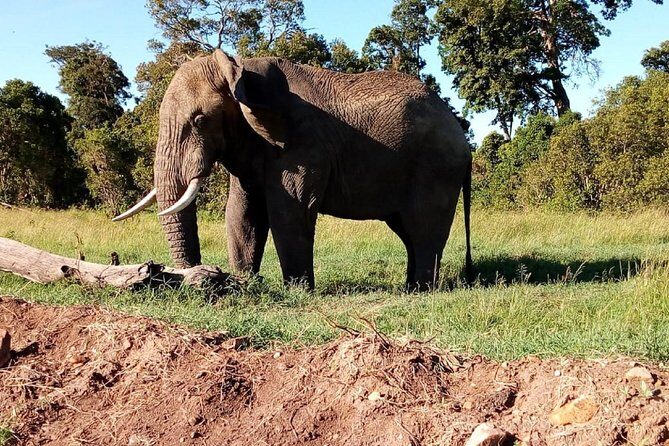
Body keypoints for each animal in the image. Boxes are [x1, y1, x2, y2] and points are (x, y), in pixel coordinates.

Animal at [114, 49, 473, 291]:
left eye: (201, 120)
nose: (196, 278)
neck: (239, 68)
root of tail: (461, 133)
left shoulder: (303, 144)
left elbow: (289, 212)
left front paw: (297, 291)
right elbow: (241, 213)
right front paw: (246, 284)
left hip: (436, 168)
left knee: (424, 229)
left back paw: (421, 290)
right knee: (407, 230)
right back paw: (409, 288)